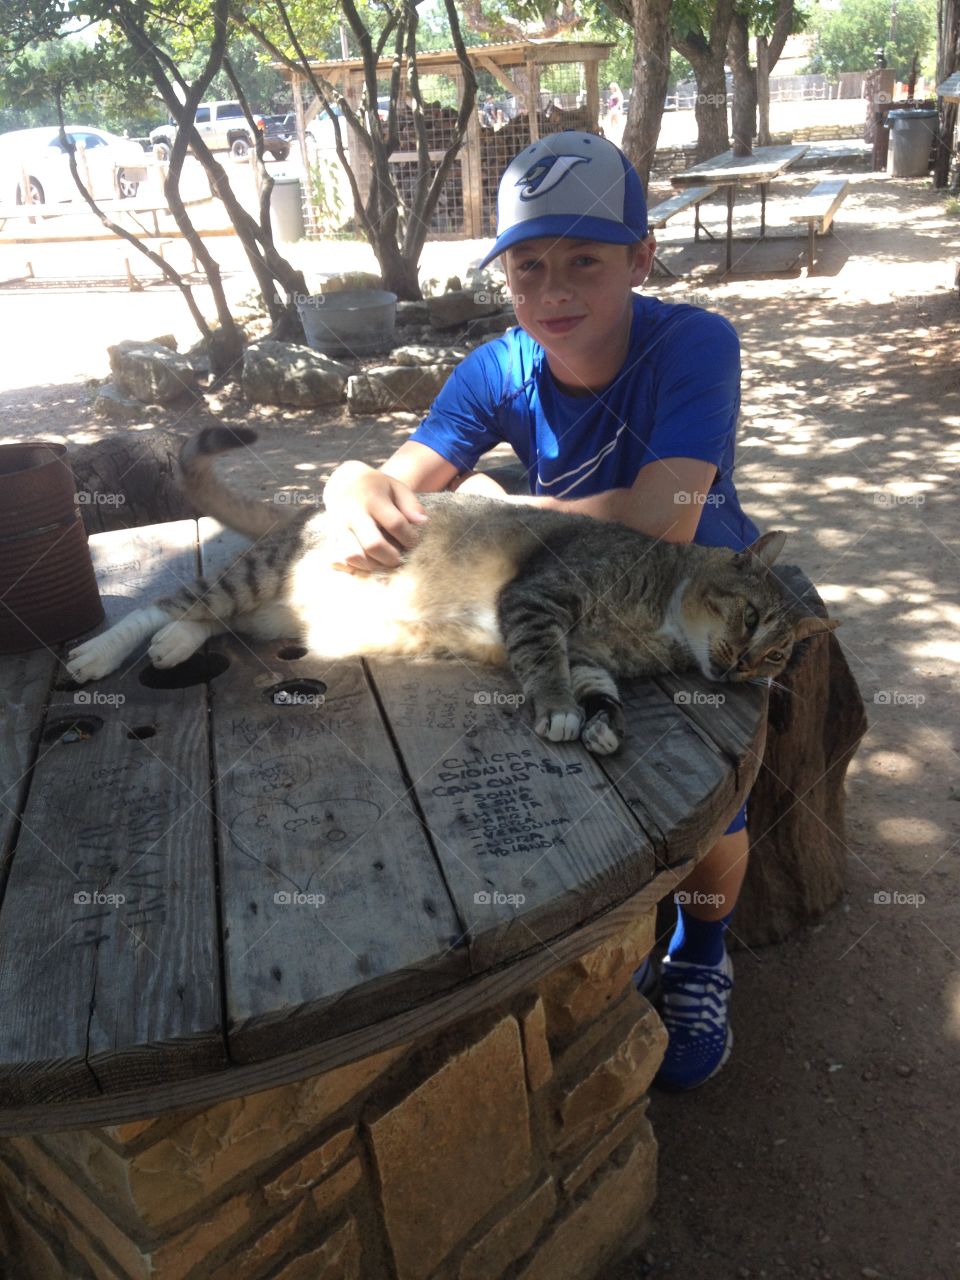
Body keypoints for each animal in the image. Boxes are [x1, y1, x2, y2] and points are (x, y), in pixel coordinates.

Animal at [64, 424, 839, 752]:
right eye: (749, 619)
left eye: (776, 657)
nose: (742, 668)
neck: (659, 626)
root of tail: (303, 512)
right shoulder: (538, 603)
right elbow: (546, 665)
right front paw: (560, 713)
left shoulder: (591, 656)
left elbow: (602, 691)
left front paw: (600, 724)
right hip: (254, 576)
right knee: (172, 601)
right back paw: (101, 654)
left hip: (275, 614)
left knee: (208, 619)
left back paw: (174, 645)